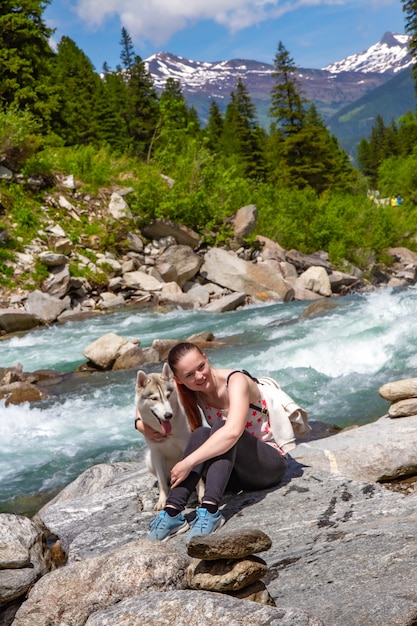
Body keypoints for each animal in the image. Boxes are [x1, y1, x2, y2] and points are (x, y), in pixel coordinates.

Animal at [136, 364, 193, 510]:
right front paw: (162, 500)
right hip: (149, 460)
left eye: (168, 395)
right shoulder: (156, 453)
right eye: (154, 398)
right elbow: (161, 481)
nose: (168, 415)